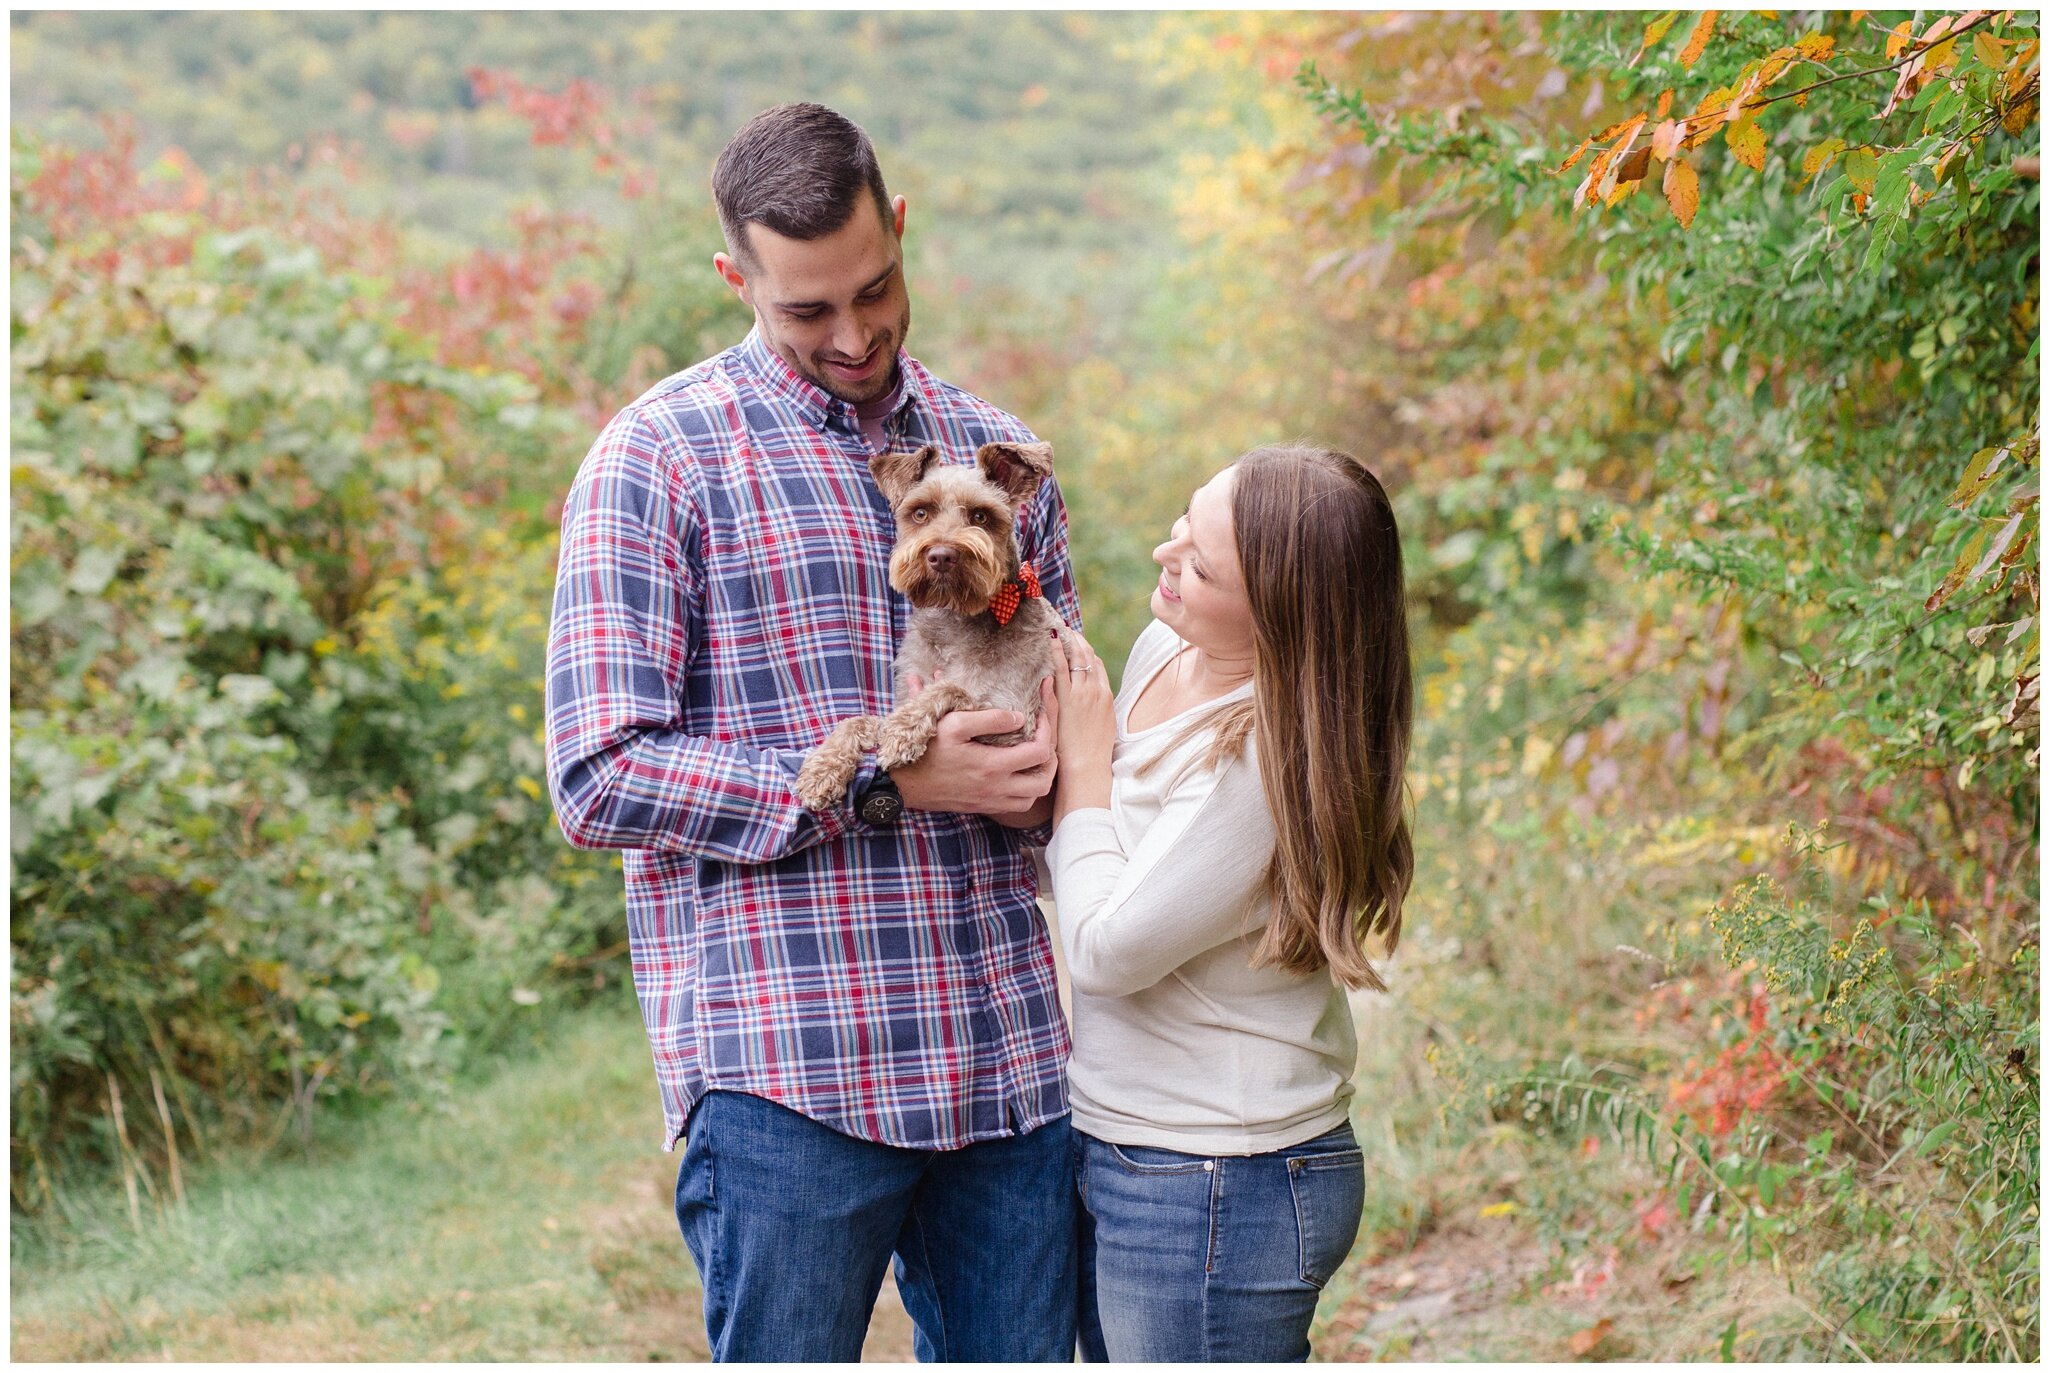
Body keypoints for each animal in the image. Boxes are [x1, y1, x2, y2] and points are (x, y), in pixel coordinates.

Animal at [791, 440, 1074, 811]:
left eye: (980, 516)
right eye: (921, 513)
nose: (941, 555)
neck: (955, 617)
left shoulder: (1016, 721)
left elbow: (950, 688)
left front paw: (902, 733)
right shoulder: (907, 691)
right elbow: (860, 721)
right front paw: (822, 769)